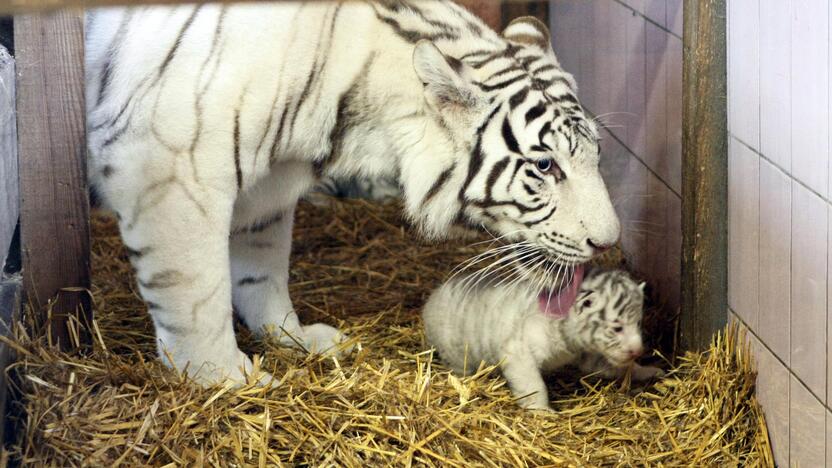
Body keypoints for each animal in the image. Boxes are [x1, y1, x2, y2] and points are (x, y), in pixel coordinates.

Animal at [86, 0, 616, 386]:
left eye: (596, 153)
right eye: (545, 166)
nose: (607, 243)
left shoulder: (266, 190)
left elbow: (261, 270)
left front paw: (293, 337)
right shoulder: (171, 167)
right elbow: (195, 293)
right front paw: (226, 379)